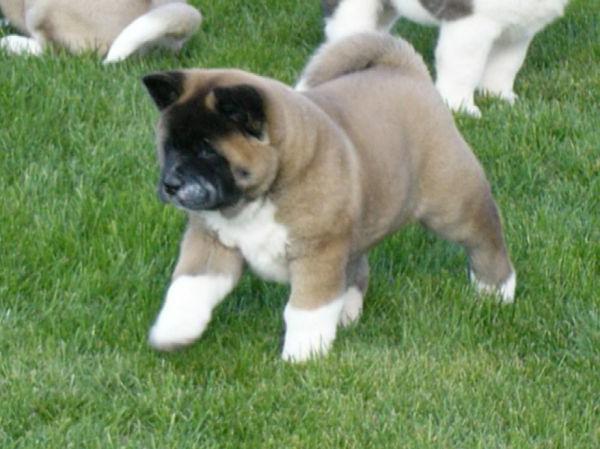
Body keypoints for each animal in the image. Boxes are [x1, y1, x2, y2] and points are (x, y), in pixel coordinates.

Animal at [142, 32, 516, 360]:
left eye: (207, 151)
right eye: (169, 147)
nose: (170, 185)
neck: (256, 199)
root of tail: (405, 70)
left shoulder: (317, 253)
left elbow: (305, 310)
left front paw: (302, 357)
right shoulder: (211, 243)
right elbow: (187, 289)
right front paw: (174, 331)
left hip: (453, 206)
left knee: (485, 240)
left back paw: (496, 292)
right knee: (357, 266)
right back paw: (348, 313)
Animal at [322, 0, 568, 115]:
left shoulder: (517, 31)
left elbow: (506, 66)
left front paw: (500, 97)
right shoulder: (469, 25)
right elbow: (464, 69)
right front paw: (459, 107)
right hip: (353, 8)